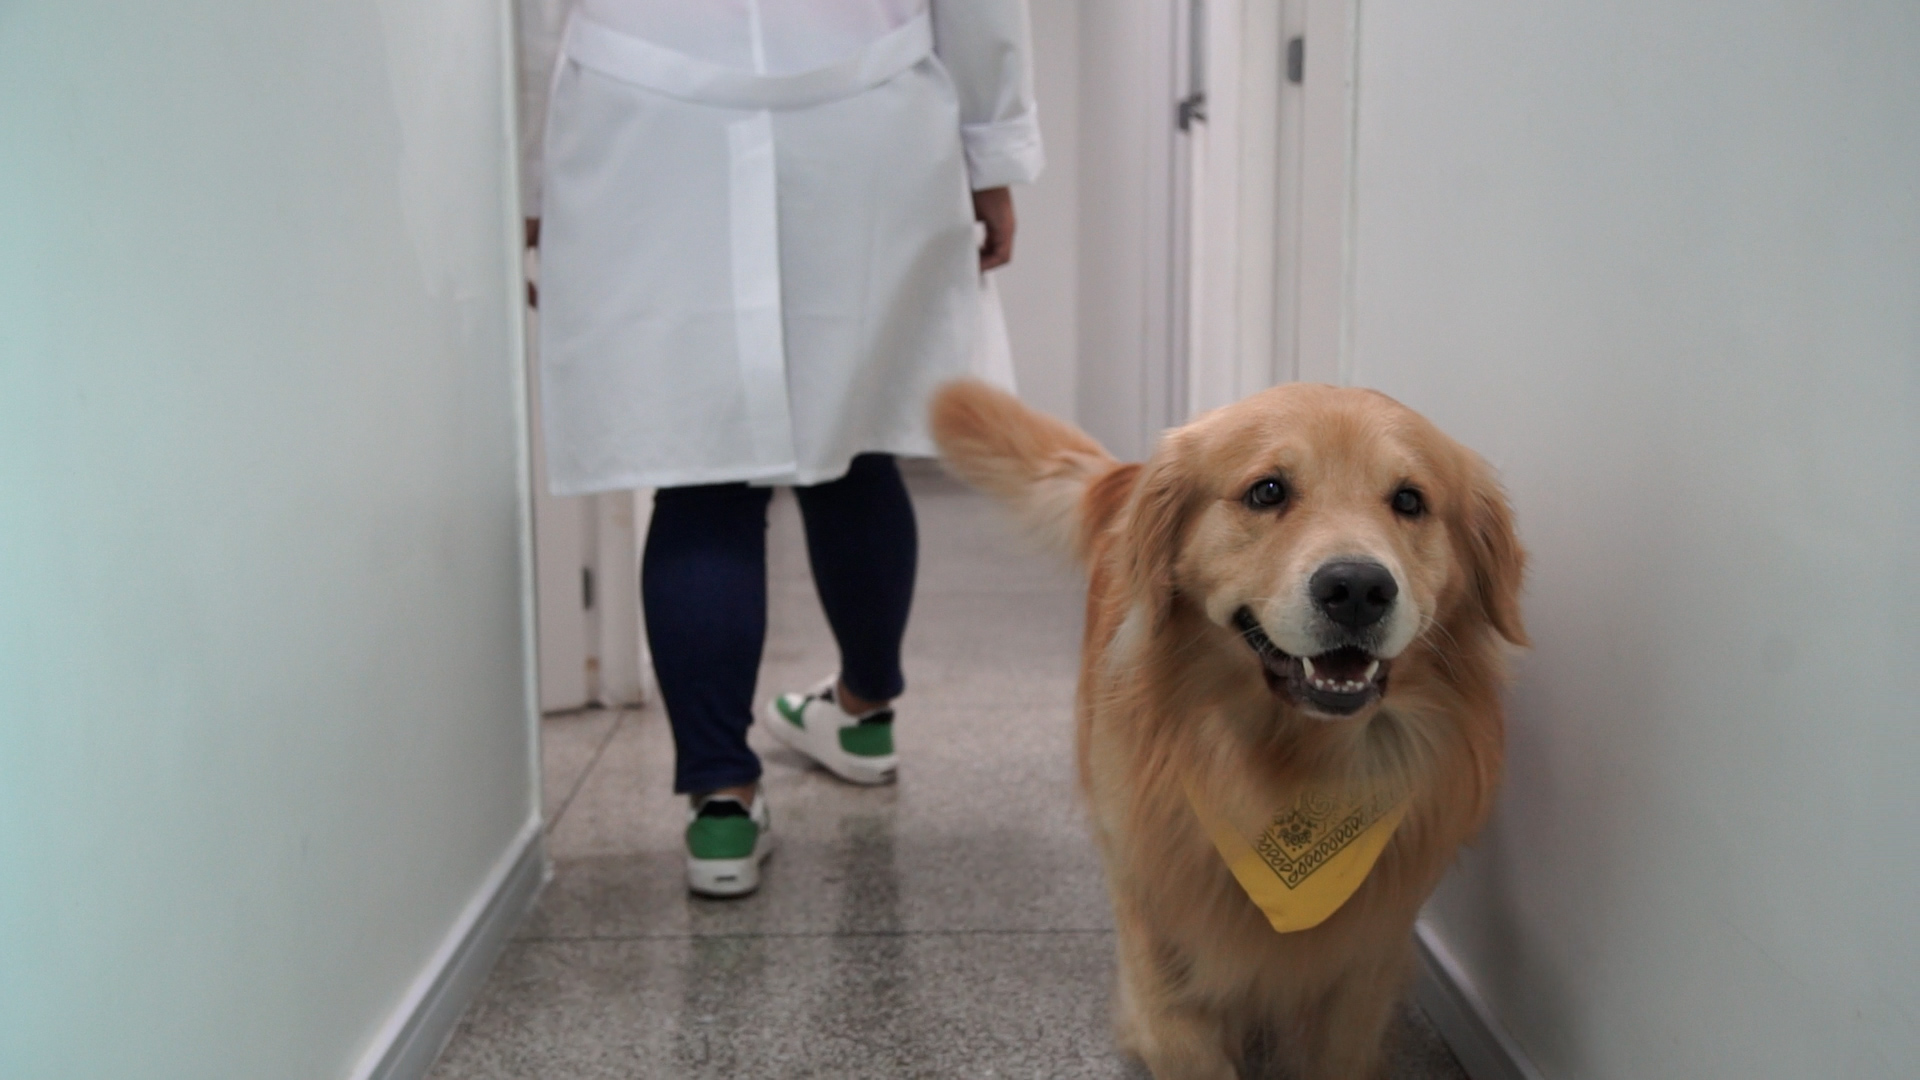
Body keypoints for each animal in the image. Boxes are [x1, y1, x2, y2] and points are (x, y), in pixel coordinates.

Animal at [929, 380, 1528, 1076]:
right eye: (1267, 491)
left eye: (1410, 500)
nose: (1357, 588)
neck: (1288, 766)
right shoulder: (1158, 951)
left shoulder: (1364, 967)